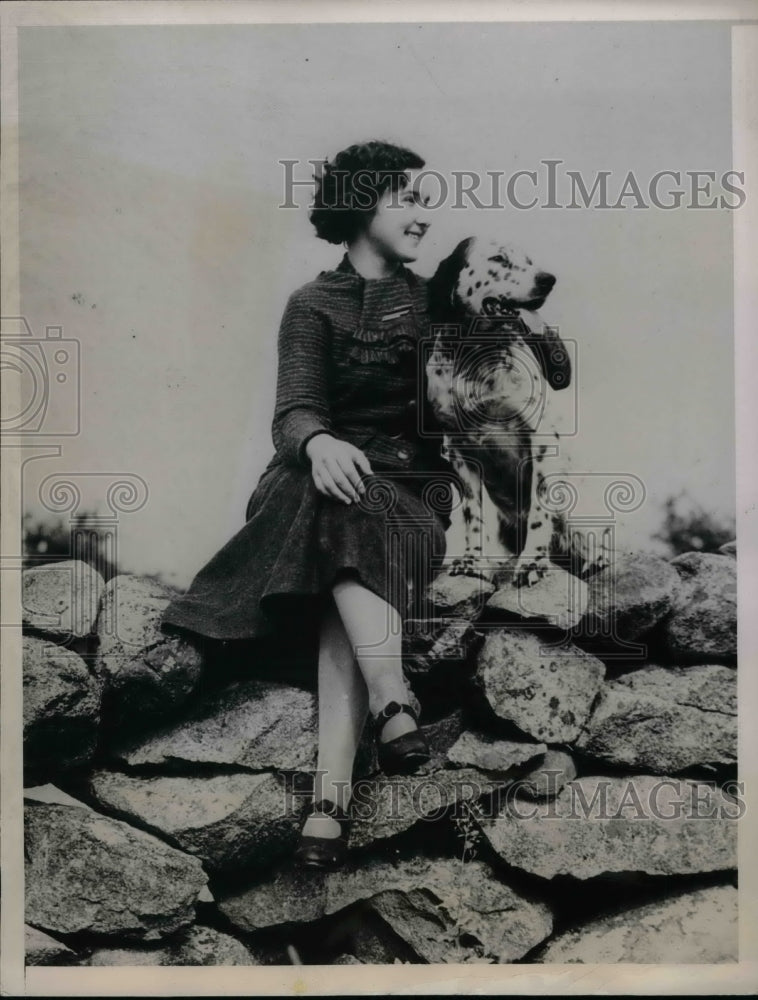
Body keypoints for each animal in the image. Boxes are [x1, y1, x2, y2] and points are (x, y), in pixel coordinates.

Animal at [428, 233, 612, 584]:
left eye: (529, 261)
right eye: (499, 258)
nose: (548, 280)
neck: (476, 354)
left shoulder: (539, 439)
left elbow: (539, 512)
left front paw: (531, 564)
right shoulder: (458, 450)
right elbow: (473, 515)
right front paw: (471, 562)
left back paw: (595, 562)